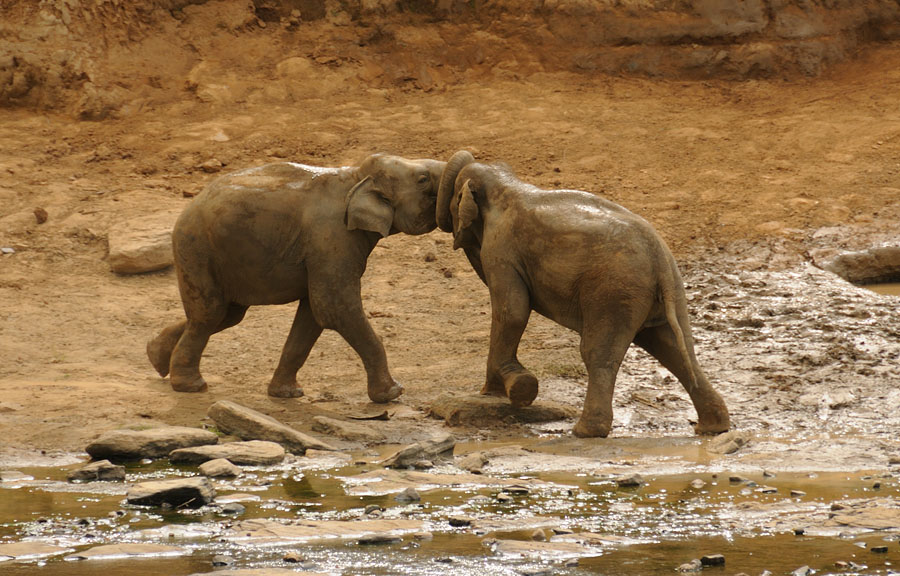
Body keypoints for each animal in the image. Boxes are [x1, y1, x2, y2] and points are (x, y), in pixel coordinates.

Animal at [148, 154, 446, 404]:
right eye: (422, 179)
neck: (354, 175)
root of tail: (190, 204)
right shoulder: (332, 238)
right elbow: (335, 309)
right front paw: (393, 393)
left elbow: (312, 316)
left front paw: (287, 394)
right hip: (197, 249)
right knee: (210, 314)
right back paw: (191, 386)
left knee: (226, 314)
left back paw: (155, 356)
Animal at [436, 151, 732, 438]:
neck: (504, 185)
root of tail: (660, 260)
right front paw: (494, 392)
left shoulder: (501, 249)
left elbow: (512, 312)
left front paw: (495, 392)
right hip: (663, 292)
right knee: (675, 348)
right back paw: (712, 428)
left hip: (614, 291)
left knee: (597, 351)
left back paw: (584, 432)